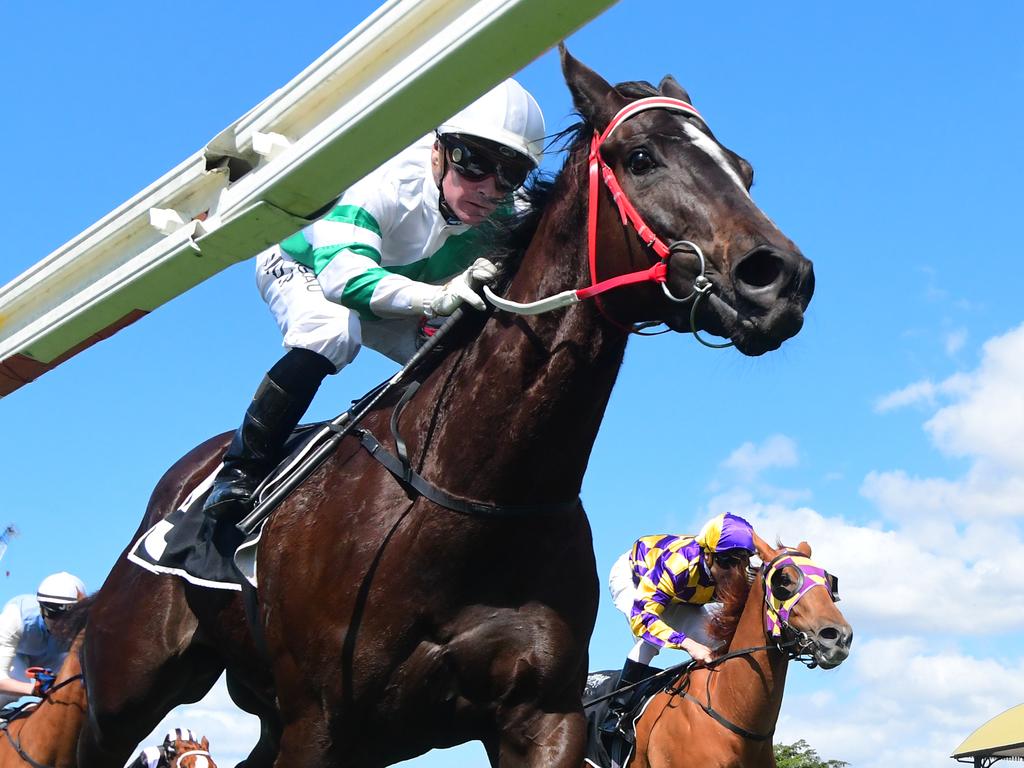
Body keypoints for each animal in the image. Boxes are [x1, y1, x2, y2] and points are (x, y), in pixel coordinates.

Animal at [77, 48, 815, 768]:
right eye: (640, 157)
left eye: (744, 170)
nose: (781, 278)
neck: (473, 498)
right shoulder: (321, 720)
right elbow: (351, 266)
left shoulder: (543, 718)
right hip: (124, 690)